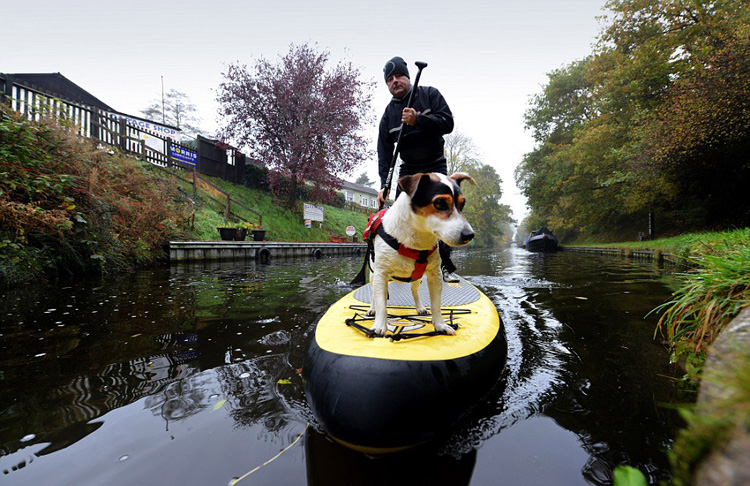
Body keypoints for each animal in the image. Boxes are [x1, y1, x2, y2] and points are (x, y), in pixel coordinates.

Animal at [364, 173, 476, 336]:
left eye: (463, 204)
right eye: (439, 203)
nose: (469, 235)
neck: (416, 239)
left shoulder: (435, 276)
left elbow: (436, 304)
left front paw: (440, 325)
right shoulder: (381, 274)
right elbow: (380, 304)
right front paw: (379, 326)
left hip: (416, 278)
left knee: (414, 291)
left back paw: (419, 307)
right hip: (373, 275)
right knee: (373, 295)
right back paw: (372, 309)